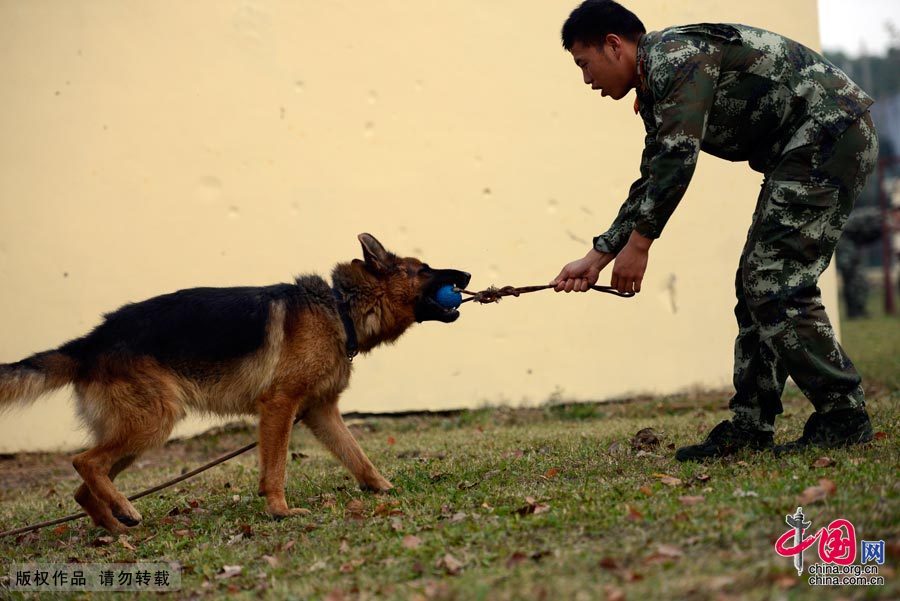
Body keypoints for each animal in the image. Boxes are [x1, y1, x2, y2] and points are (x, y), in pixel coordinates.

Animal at [0, 232, 468, 532]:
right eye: (423, 269)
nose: (465, 276)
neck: (339, 308)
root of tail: (91, 341)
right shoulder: (280, 406)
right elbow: (275, 467)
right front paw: (279, 511)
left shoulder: (320, 412)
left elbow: (358, 457)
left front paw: (383, 488)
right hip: (152, 422)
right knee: (84, 462)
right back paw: (124, 513)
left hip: (137, 433)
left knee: (84, 488)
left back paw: (115, 527)